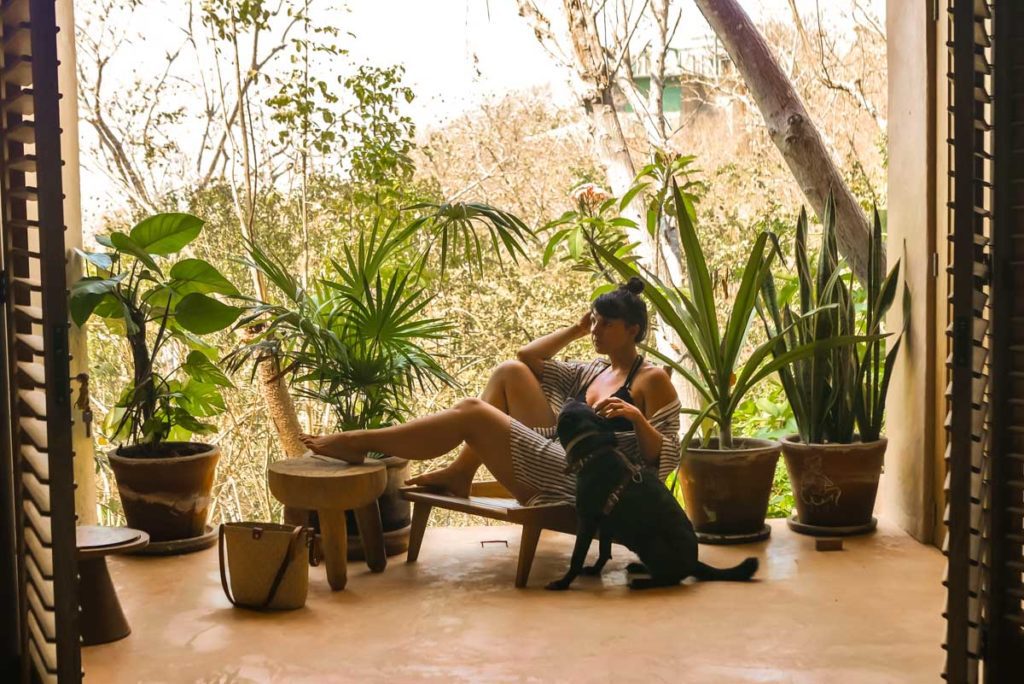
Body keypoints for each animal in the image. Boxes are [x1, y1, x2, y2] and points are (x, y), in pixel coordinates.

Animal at [548, 401, 757, 589]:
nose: (568, 399)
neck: (593, 450)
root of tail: (693, 563)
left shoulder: (587, 520)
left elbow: (577, 557)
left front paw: (562, 583)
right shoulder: (606, 523)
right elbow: (604, 551)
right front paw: (594, 570)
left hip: (648, 542)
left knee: (670, 579)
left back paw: (642, 582)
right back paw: (640, 568)